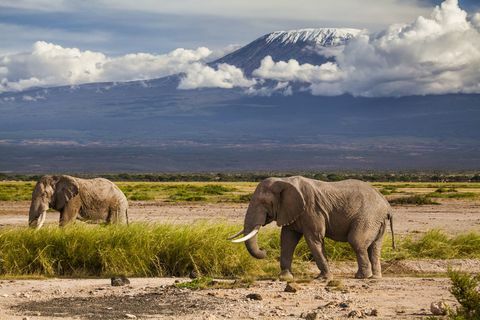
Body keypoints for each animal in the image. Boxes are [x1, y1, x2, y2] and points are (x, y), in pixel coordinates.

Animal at [229, 176, 394, 278]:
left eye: (265, 203)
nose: (264, 251)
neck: (284, 181)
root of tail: (387, 205)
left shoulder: (311, 209)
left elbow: (314, 239)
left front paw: (324, 278)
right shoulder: (292, 211)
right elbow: (287, 239)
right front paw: (285, 277)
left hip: (368, 216)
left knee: (357, 241)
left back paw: (362, 277)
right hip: (376, 221)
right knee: (374, 246)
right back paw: (375, 277)